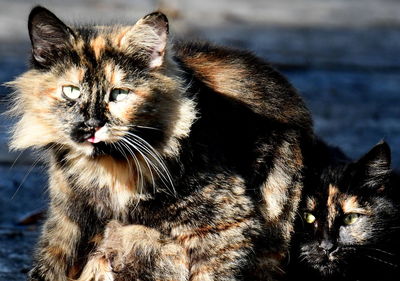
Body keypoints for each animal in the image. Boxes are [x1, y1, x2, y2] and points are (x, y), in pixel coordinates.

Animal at [6, 6, 312, 280]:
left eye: (119, 94)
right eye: (71, 91)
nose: (91, 124)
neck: (107, 171)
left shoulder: (224, 230)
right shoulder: (66, 224)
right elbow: (47, 268)